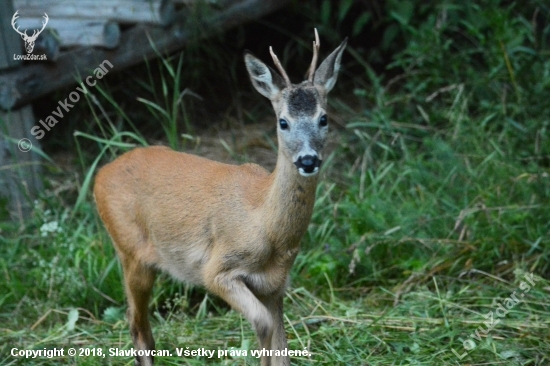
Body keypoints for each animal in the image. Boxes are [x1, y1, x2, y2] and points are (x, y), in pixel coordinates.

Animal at [92, 29, 348, 366]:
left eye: (324, 118)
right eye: (283, 122)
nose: (308, 160)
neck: (266, 226)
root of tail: (100, 175)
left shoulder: (275, 285)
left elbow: (281, 349)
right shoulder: (216, 270)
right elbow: (262, 325)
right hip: (131, 251)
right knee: (137, 326)